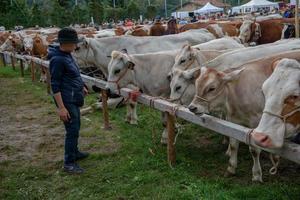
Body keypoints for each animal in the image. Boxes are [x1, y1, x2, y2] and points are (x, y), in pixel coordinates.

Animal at [189, 50, 300, 182]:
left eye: (212, 88)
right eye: (196, 85)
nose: (192, 107)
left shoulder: (256, 124)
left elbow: (254, 150)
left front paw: (256, 174)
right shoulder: (233, 121)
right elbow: (233, 145)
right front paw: (231, 168)